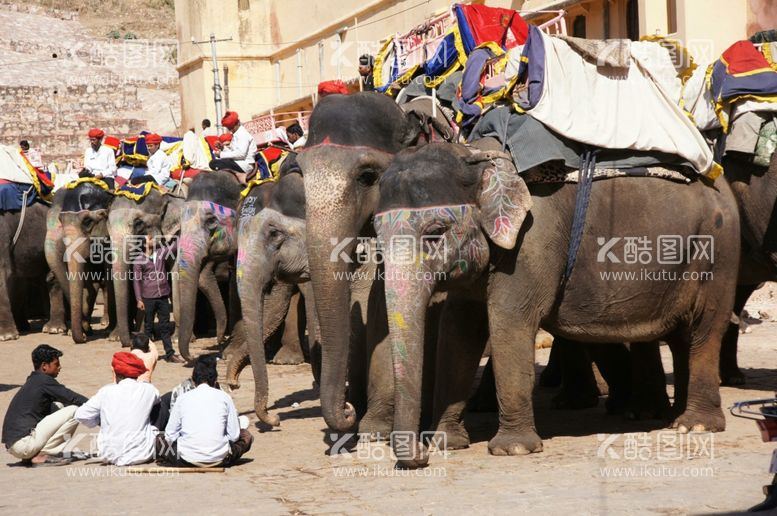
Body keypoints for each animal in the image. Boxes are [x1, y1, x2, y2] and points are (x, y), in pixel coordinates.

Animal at [374, 141, 740, 468]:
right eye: (377, 236)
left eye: (435, 231)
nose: (419, 459)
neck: (474, 157)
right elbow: (458, 331)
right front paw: (446, 443)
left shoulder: (531, 244)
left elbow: (508, 322)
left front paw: (513, 450)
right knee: (679, 336)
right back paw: (662, 416)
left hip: (718, 252)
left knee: (705, 328)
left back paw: (694, 426)